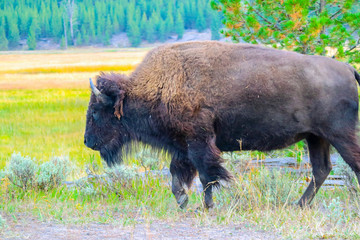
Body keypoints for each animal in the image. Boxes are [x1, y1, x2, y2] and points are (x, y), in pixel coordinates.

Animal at [85, 41, 360, 208]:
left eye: (96, 112)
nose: (88, 141)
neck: (161, 84)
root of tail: (348, 68)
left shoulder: (199, 142)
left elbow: (207, 175)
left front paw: (206, 206)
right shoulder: (182, 146)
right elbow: (179, 173)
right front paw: (183, 201)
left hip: (340, 135)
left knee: (348, 165)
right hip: (317, 137)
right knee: (321, 169)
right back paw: (298, 205)